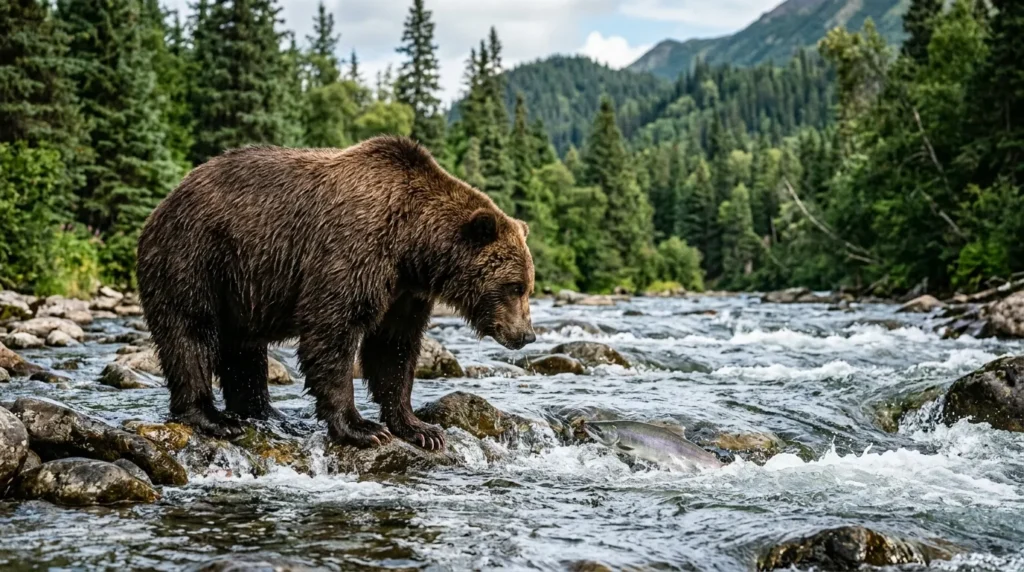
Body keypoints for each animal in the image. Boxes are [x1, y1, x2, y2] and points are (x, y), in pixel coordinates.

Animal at [136, 136, 536, 450]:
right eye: (514, 287)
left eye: (528, 287)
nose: (526, 335)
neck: (412, 245)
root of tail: (165, 202)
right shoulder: (353, 251)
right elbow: (332, 332)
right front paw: (362, 428)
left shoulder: (404, 293)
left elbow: (393, 349)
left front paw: (420, 429)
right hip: (197, 257)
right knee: (191, 331)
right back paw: (214, 418)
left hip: (241, 287)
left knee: (244, 351)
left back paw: (265, 412)